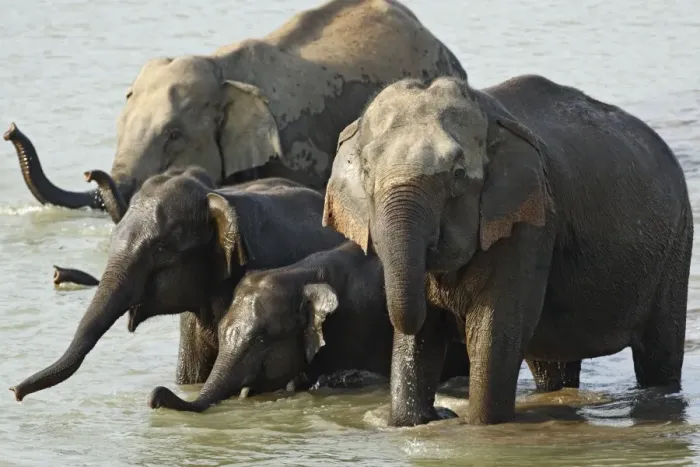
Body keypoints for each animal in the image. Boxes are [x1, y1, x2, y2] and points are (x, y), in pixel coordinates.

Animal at [321, 74, 693, 427]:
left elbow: (493, 328)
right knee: (551, 365)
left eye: (458, 174)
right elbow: (420, 335)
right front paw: (411, 423)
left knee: (659, 353)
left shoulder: (529, 221)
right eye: (366, 170)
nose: (444, 412)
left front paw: (481, 427)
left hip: (676, 246)